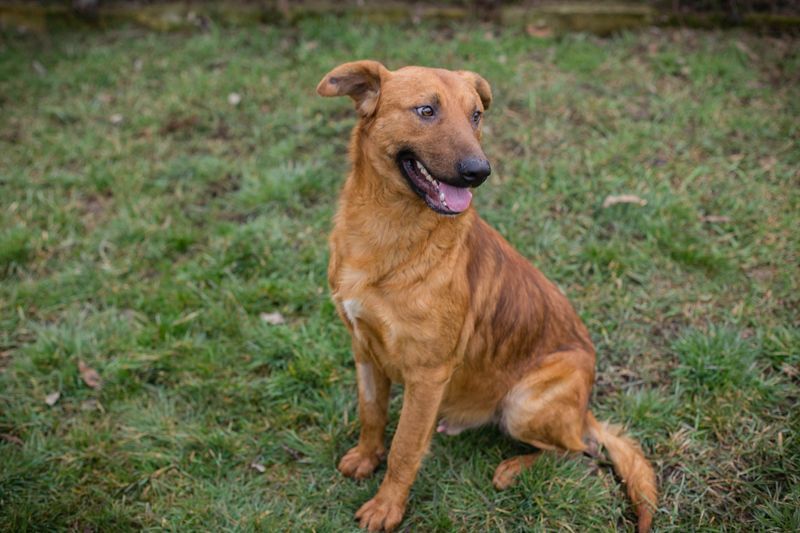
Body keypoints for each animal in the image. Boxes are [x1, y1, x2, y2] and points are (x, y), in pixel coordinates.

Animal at [317, 60, 657, 532]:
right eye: (426, 111)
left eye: (475, 115)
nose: (480, 171)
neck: (387, 232)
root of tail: (583, 409)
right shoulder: (364, 349)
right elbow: (373, 414)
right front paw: (367, 458)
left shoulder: (428, 375)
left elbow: (405, 448)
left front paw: (386, 507)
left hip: (522, 403)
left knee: (577, 448)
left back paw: (514, 468)